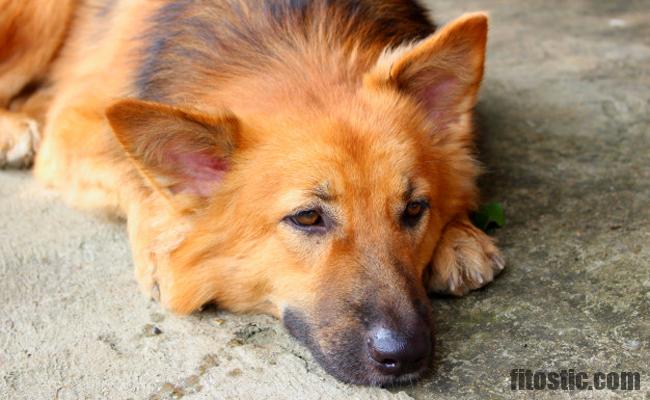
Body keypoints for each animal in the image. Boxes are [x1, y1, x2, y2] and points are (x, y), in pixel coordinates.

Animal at [0, 0, 504, 388]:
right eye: (307, 218)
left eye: (415, 208)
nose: (407, 354)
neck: (292, 36)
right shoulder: (75, 126)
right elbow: (134, 176)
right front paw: (163, 246)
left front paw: (459, 238)